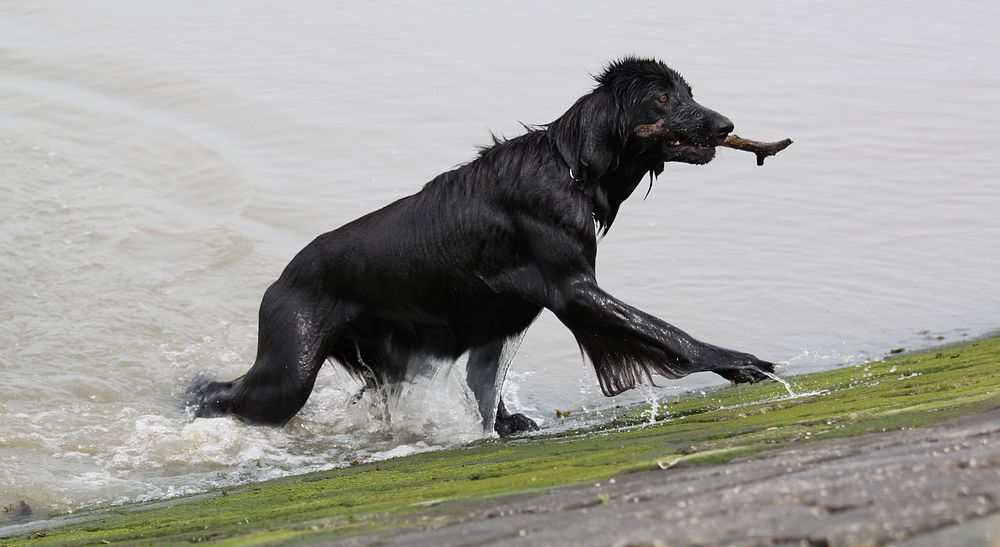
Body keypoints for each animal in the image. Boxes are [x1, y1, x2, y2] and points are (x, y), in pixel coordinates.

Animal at [189, 57, 776, 436]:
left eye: (688, 93)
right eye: (662, 97)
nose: (726, 125)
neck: (572, 169)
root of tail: (282, 278)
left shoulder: (502, 317)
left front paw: (505, 421)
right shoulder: (573, 288)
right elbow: (664, 331)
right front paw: (739, 362)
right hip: (289, 369)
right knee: (224, 394)